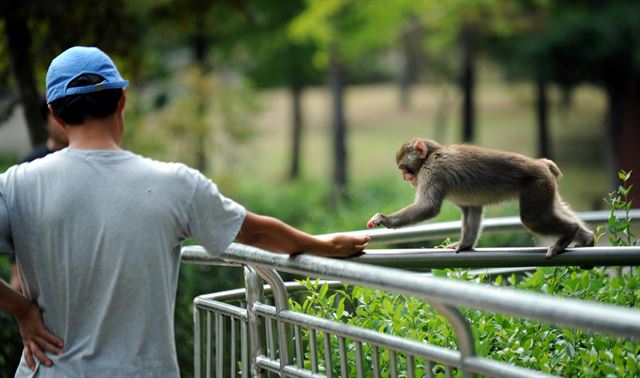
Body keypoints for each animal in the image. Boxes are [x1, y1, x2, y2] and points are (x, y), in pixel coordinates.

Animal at [368, 137, 596, 258]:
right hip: (546, 188)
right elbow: (471, 209)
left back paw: (568, 234)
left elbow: (428, 207)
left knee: (532, 219)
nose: (406, 178)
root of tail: (541, 163)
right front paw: (465, 244)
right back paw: (586, 238)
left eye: (404, 168)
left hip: (536, 185)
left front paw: (384, 219)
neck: (431, 155)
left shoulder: (432, 172)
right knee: (553, 210)